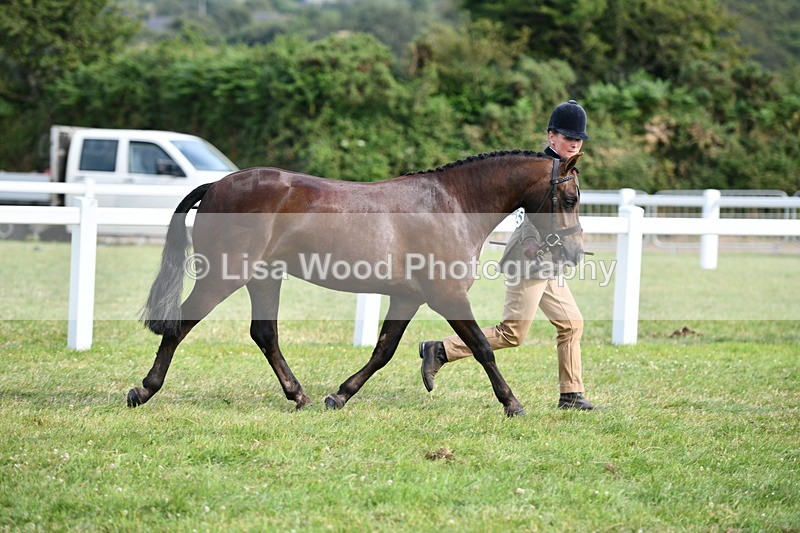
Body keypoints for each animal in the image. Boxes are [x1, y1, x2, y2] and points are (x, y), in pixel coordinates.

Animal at [128, 150, 584, 417]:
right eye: (571, 198)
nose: (575, 252)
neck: (452, 205)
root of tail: (217, 185)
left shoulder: (406, 299)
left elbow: (383, 351)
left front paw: (340, 395)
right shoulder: (447, 295)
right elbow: (482, 347)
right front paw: (512, 403)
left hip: (264, 278)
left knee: (265, 334)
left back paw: (299, 395)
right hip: (225, 276)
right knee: (181, 326)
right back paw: (144, 390)